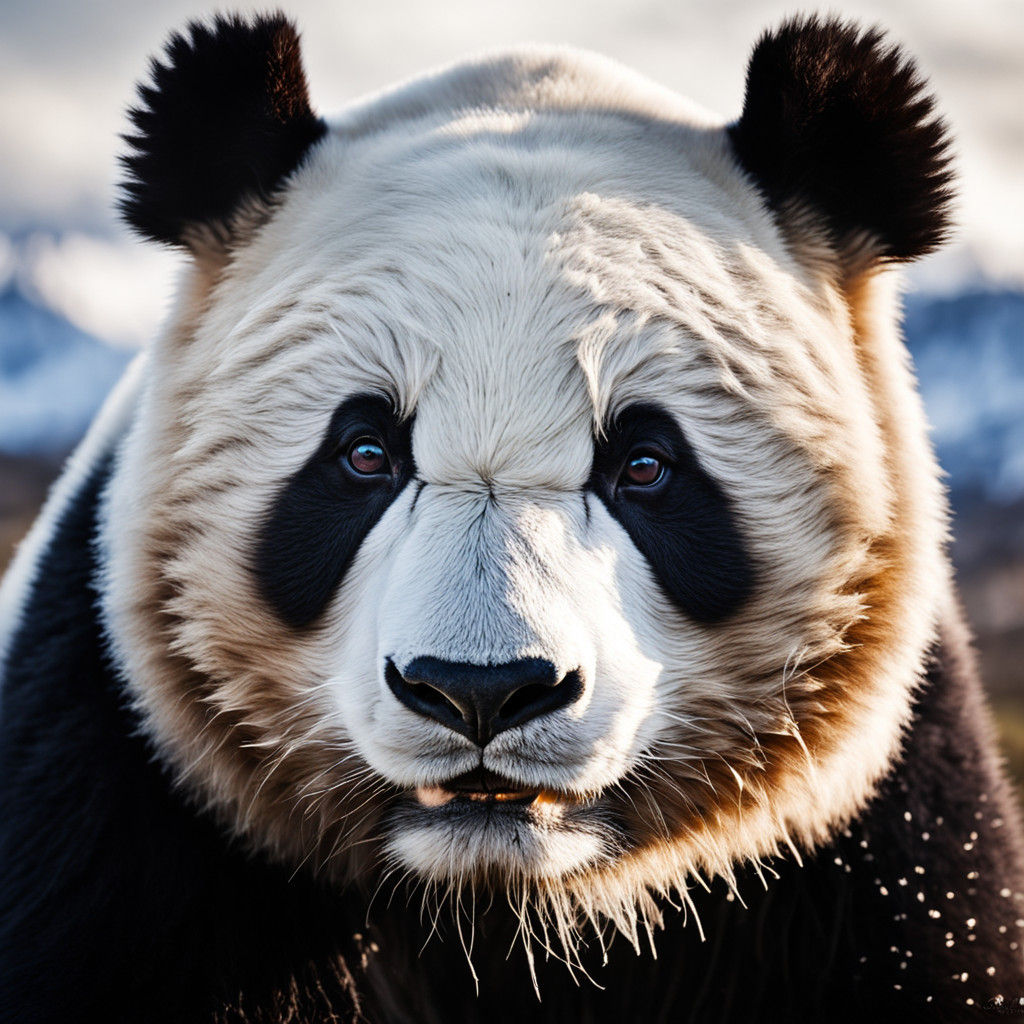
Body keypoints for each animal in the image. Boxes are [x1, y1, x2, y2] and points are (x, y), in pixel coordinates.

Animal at [1, 10, 1023, 1023]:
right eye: (365, 454)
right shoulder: (121, 808)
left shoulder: (870, 858)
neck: (497, 906)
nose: (480, 690)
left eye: (644, 465)